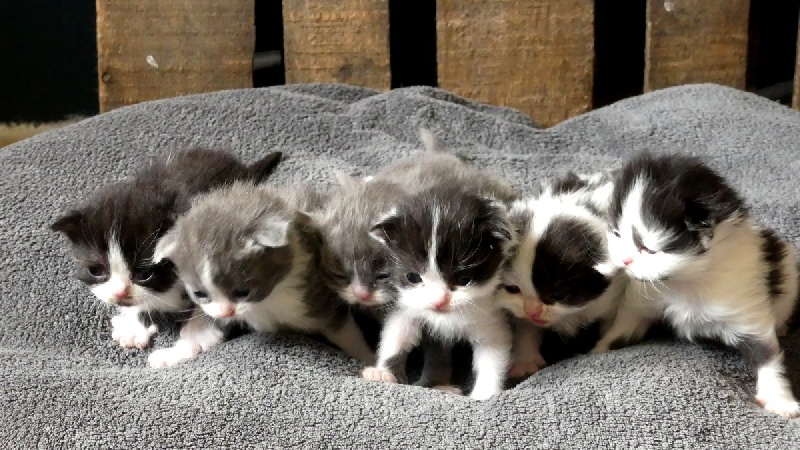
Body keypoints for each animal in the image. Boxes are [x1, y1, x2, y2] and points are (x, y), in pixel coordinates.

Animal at [150, 181, 376, 368]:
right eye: (200, 294)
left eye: (243, 292)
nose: (227, 312)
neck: (268, 301)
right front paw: (172, 353)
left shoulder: (318, 297)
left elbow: (346, 334)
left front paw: (369, 361)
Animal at [362, 184, 512, 400]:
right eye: (413, 277)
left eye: (463, 279)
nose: (439, 301)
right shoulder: (407, 302)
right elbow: (397, 334)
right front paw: (383, 372)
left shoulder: (490, 313)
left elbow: (492, 353)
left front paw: (485, 393)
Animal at [592, 154, 800, 418]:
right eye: (617, 233)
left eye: (648, 249)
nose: (625, 261)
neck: (686, 279)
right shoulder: (643, 300)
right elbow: (621, 329)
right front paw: (596, 350)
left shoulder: (745, 307)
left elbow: (766, 354)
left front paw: (779, 399)